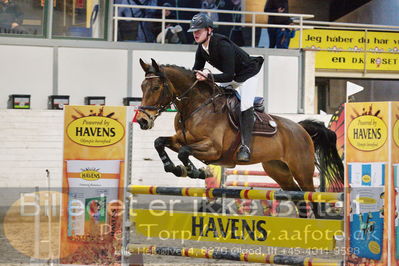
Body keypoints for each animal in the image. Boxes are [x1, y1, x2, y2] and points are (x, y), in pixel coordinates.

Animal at [135, 58, 344, 218]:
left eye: (156, 87)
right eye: (142, 86)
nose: (142, 121)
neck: (196, 106)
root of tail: (301, 129)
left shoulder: (213, 149)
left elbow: (184, 153)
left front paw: (196, 172)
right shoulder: (180, 140)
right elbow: (159, 142)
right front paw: (175, 168)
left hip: (302, 170)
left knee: (311, 197)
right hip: (278, 170)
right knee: (297, 197)